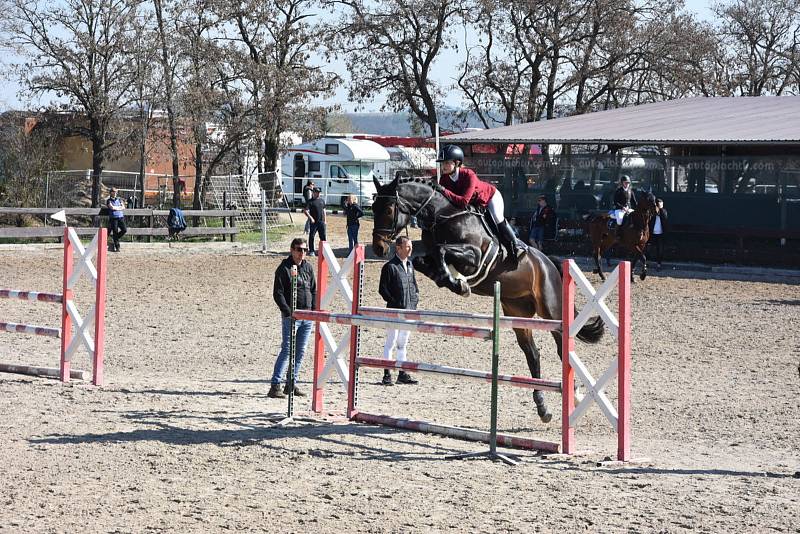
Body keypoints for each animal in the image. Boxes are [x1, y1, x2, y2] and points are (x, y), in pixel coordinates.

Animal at [372, 178, 604, 426]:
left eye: (388, 209)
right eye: (374, 208)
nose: (378, 248)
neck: (442, 215)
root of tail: (550, 263)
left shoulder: (473, 255)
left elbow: (441, 250)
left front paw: (458, 283)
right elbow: (423, 260)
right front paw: (451, 280)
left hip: (552, 313)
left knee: (563, 350)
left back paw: (575, 394)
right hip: (518, 314)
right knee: (533, 354)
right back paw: (542, 407)